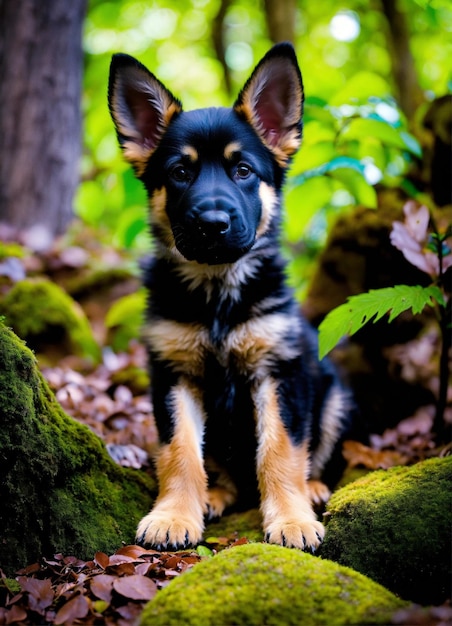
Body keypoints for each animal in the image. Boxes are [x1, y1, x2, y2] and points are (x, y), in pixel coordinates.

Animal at [107, 42, 352, 552]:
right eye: (180, 172)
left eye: (243, 171)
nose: (213, 223)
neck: (217, 293)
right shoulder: (173, 374)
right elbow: (179, 450)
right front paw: (174, 515)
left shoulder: (279, 372)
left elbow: (280, 449)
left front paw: (291, 519)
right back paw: (214, 495)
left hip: (334, 393)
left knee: (316, 452)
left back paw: (313, 488)